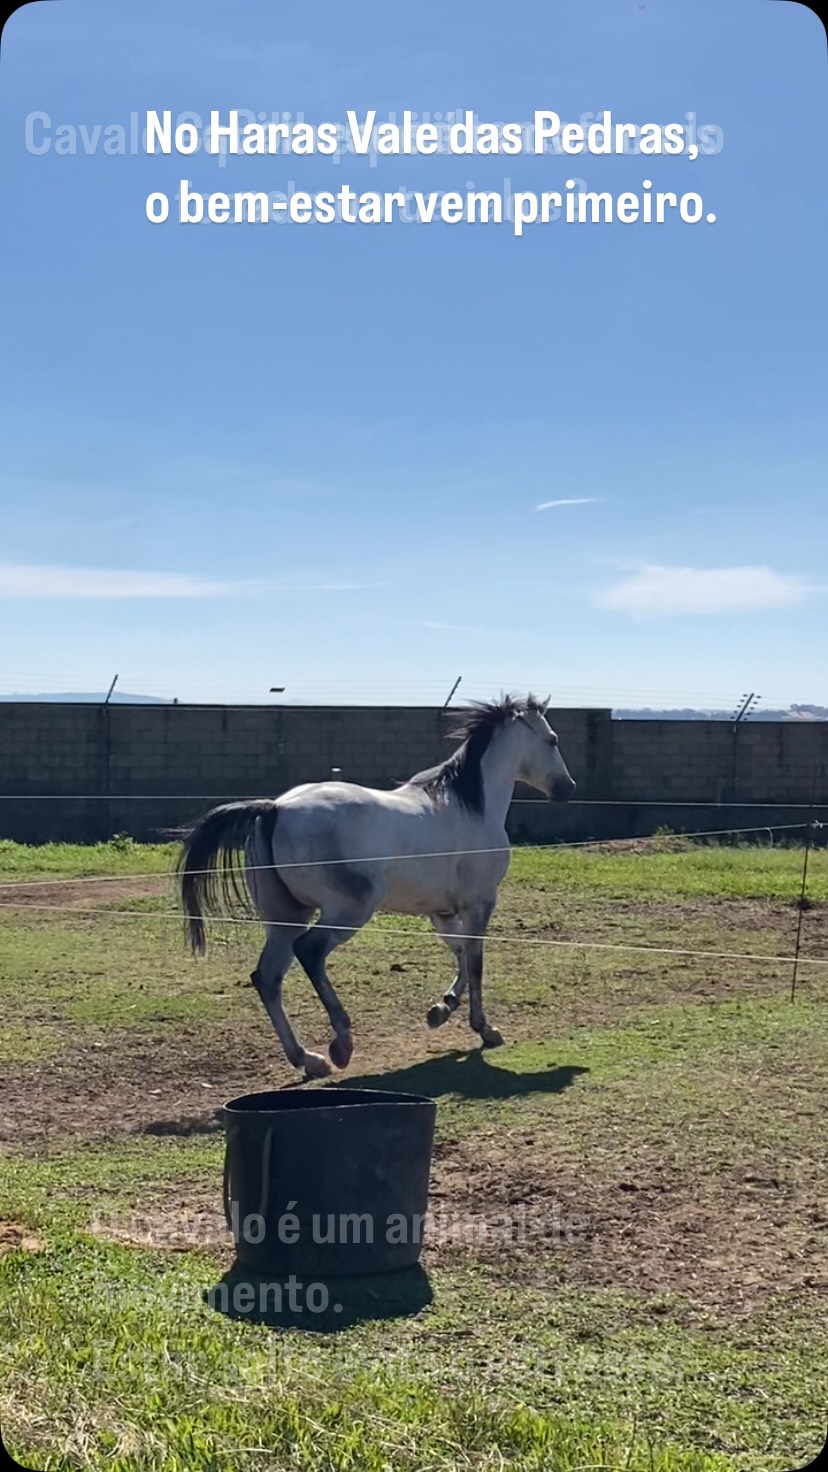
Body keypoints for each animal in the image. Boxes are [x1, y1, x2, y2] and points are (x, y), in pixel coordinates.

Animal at [178, 694, 575, 1079]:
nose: (567, 789)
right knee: (309, 952)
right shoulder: (479, 903)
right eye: (552, 740)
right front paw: (484, 1029)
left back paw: (308, 1059)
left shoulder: (443, 911)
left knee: (268, 977)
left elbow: (460, 952)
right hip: (347, 911)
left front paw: (441, 1009)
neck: (470, 806)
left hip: (286, 916)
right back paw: (341, 1043)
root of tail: (274, 808)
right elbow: (475, 961)